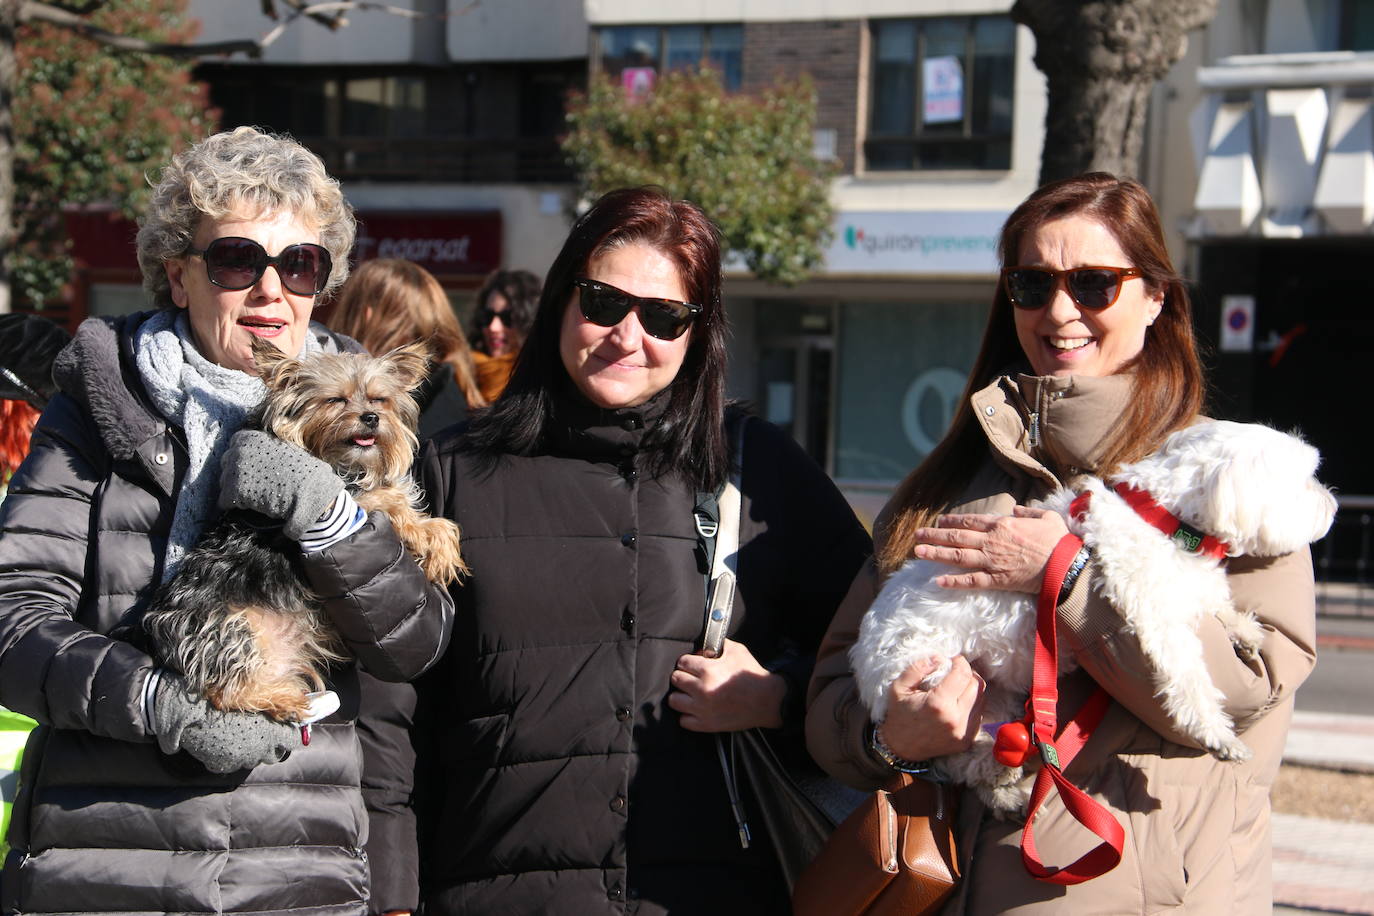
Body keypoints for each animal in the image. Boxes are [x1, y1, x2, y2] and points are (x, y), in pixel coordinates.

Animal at [851, 420, 1335, 813]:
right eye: (1304, 480)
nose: (1333, 506)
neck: (1164, 520)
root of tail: (864, 670)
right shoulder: (1154, 615)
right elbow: (1191, 681)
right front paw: (1218, 735)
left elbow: (1214, 602)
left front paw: (1243, 627)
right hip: (948, 685)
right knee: (960, 760)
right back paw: (1007, 783)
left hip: (994, 697)